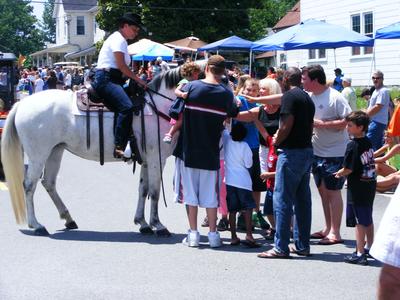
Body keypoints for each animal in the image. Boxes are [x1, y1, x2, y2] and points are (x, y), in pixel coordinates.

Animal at [0, 68, 182, 237]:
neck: (157, 107)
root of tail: (21, 104)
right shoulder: (156, 158)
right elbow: (154, 191)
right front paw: (158, 225)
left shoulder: (146, 159)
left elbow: (143, 190)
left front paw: (142, 223)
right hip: (38, 155)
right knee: (29, 185)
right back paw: (36, 225)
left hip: (55, 151)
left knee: (49, 183)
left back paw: (68, 219)